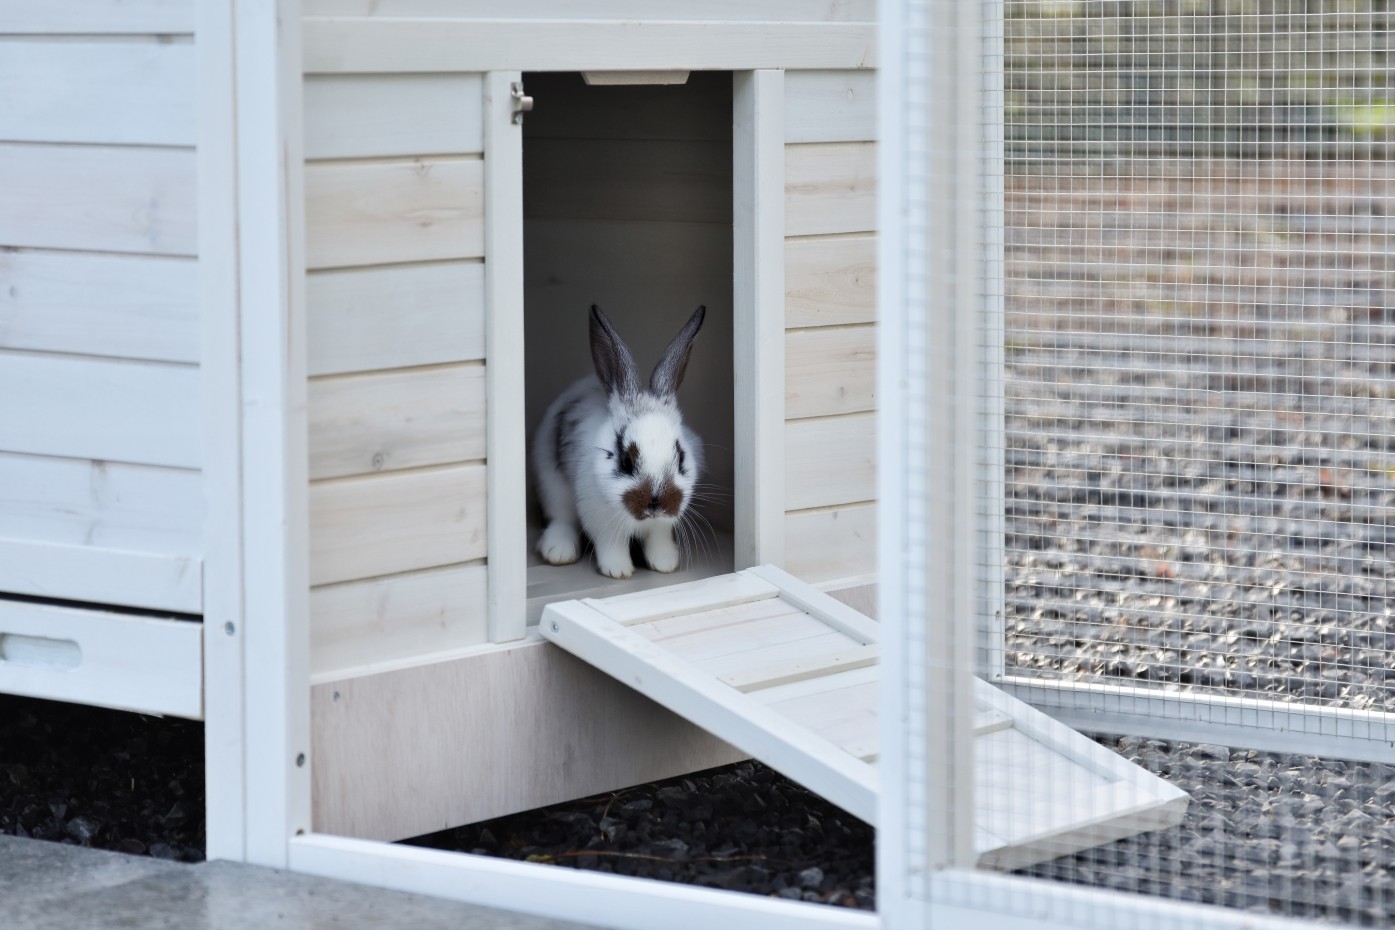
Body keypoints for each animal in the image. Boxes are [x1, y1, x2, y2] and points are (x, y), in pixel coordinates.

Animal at [532, 303, 706, 579]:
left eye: (680, 457)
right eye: (626, 460)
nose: (655, 503)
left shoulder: (661, 528)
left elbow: (658, 541)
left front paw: (666, 564)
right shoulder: (601, 523)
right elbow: (611, 546)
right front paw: (618, 571)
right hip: (553, 488)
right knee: (561, 518)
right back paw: (559, 552)